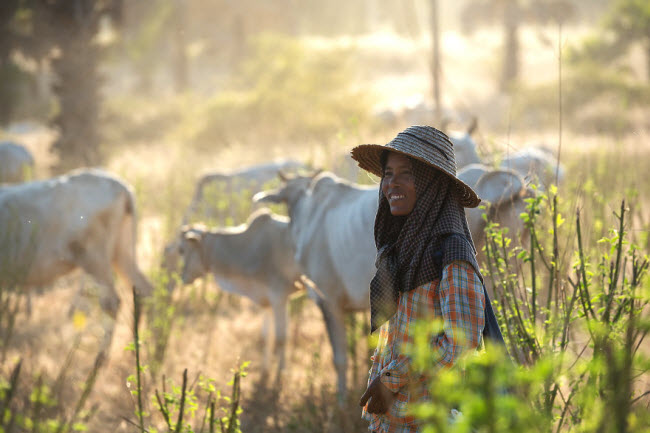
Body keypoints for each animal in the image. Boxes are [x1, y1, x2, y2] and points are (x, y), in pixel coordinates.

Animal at [0, 167, 153, 360]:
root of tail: (122, 187)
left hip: (94, 257)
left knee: (112, 302)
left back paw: (100, 359)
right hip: (122, 252)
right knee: (144, 290)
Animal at [178, 208, 302, 374]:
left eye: (181, 250)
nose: (182, 277)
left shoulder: (279, 298)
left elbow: (281, 339)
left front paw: (280, 374)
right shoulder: (265, 301)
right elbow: (265, 338)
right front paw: (264, 371)